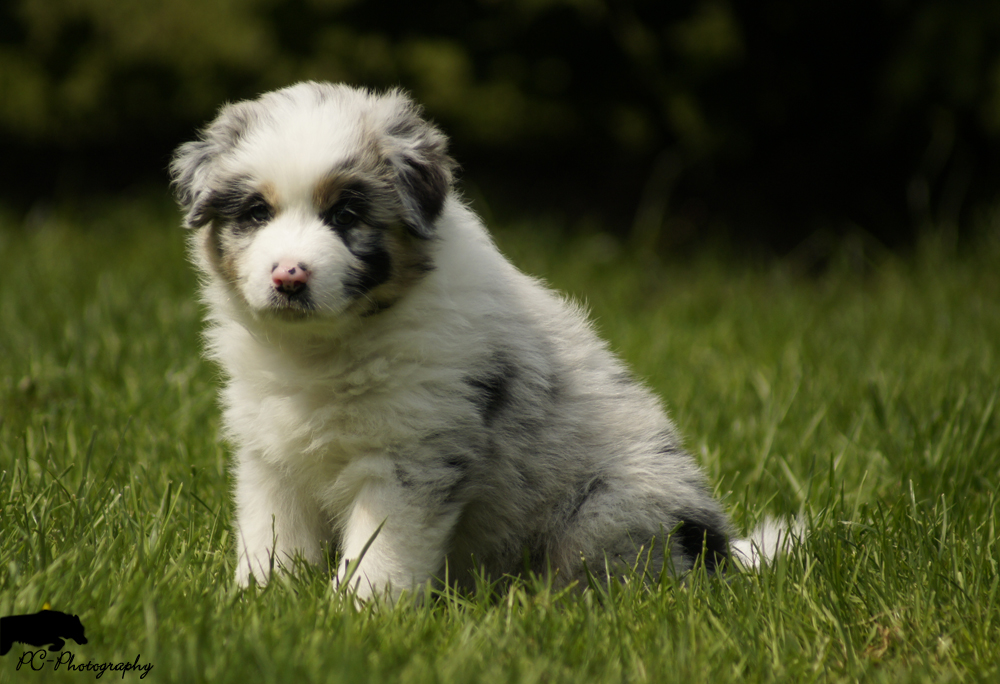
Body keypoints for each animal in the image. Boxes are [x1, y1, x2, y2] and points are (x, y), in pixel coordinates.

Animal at [170, 83, 780, 600]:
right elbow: (271, 538)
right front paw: (261, 601)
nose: (288, 277)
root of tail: (720, 558)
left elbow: (379, 556)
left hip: (611, 510)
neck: (324, 348)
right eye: (256, 212)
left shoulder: (408, 457)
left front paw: (360, 616)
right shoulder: (270, 456)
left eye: (346, 213)